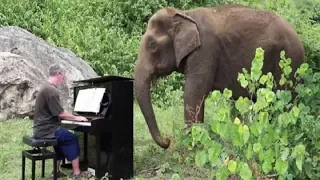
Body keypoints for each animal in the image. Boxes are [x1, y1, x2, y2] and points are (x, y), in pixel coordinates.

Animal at [132, 3, 304, 149]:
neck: (183, 14)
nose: (167, 141)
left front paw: (191, 147)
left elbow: (193, 93)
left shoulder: (205, 51)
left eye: (152, 45)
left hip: (289, 62)